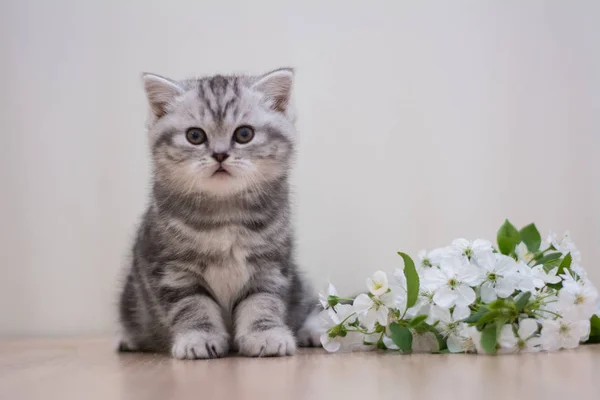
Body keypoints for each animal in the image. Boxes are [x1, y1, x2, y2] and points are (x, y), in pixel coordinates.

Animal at [118, 67, 324, 358]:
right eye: (195, 136)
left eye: (244, 134)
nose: (219, 154)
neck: (226, 212)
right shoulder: (171, 269)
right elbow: (191, 306)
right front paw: (198, 338)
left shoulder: (270, 264)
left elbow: (262, 301)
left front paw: (265, 334)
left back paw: (314, 330)